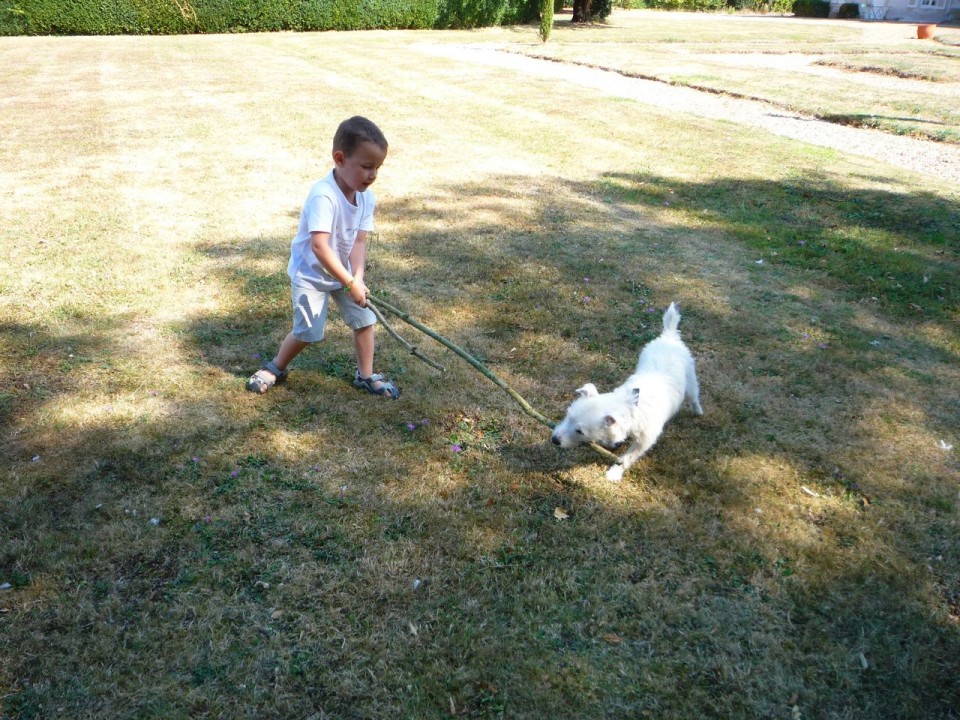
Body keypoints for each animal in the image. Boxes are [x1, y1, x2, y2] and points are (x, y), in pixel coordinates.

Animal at [551, 303, 703, 481]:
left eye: (580, 431)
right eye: (568, 416)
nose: (554, 439)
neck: (630, 404)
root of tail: (670, 336)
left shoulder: (644, 440)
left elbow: (627, 457)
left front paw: (614, 473)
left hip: (691, 383)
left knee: (694, 397)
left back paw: (698, 411)